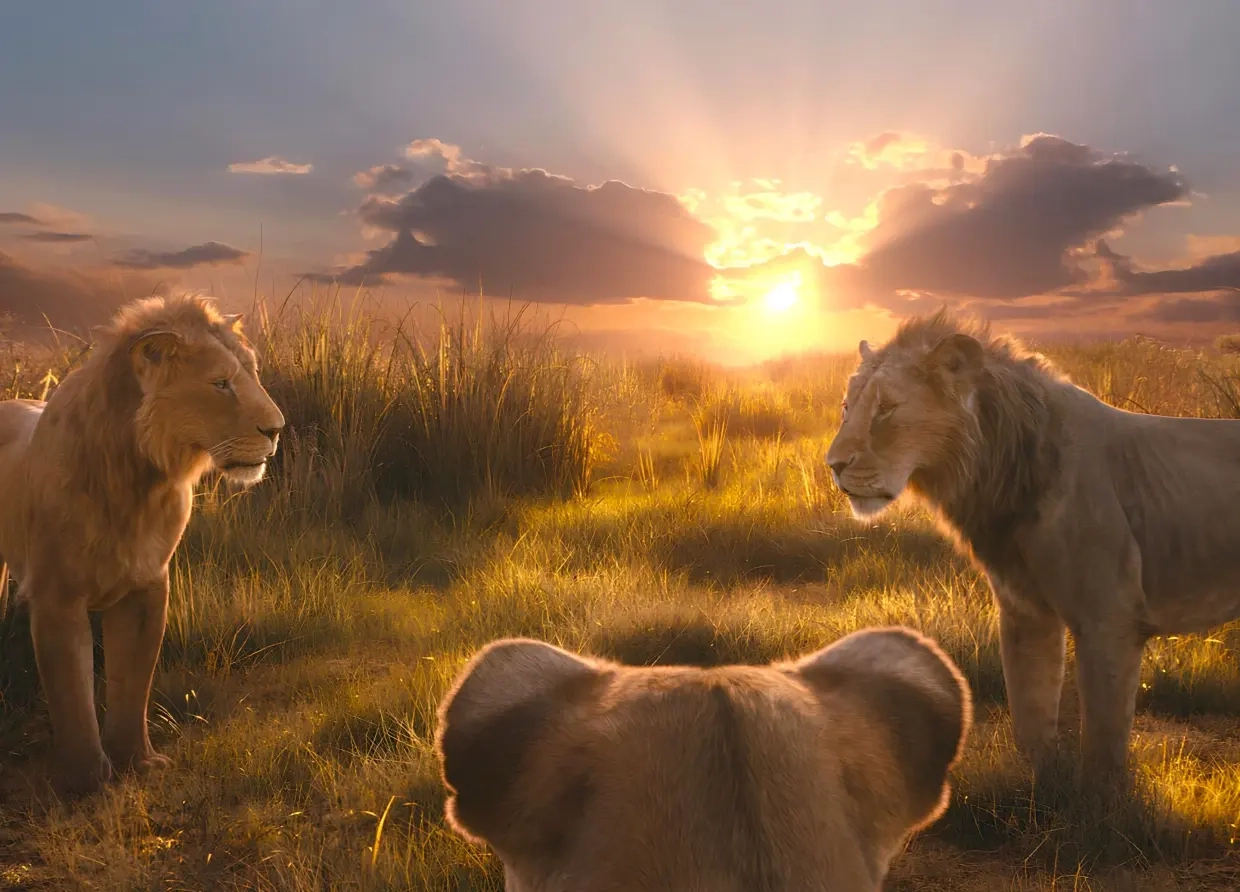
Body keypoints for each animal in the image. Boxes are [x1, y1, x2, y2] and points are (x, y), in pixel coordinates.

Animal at [0, 294, 284, 798]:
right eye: (221, 383)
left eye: (252, 374)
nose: (277, 430)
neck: (137, 480)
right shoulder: (57, 596)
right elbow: (72, 693)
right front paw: (86, 780)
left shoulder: (147, 587)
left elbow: (133, 682)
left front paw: (138, 761)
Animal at [826, 309, 1240, 790]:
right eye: (847, 407)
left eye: (887, 408)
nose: (833, 465)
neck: (998, 474)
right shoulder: (1024, 611)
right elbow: (1030, 716)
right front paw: (1046, 785)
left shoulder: (1109, 619)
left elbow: (1104, 740)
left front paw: (1102, 801)